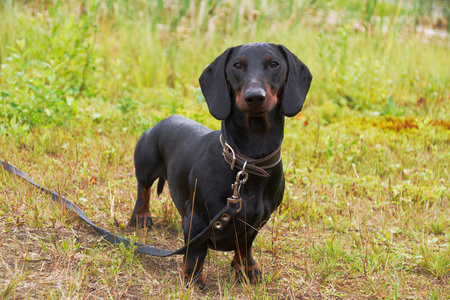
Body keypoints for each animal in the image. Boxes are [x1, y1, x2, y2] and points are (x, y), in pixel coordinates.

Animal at [131, 42, 312, 288]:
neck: (247, 162)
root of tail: (165, 119)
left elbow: (245, 246)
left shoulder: (256, 222)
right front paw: (192, 277)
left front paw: (246, 269)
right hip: (146, 165)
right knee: (144, 190)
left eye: (274, 64)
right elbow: (196, 252)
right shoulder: (197, 217)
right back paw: (141, 216)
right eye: (237, 65)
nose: (255, 97)